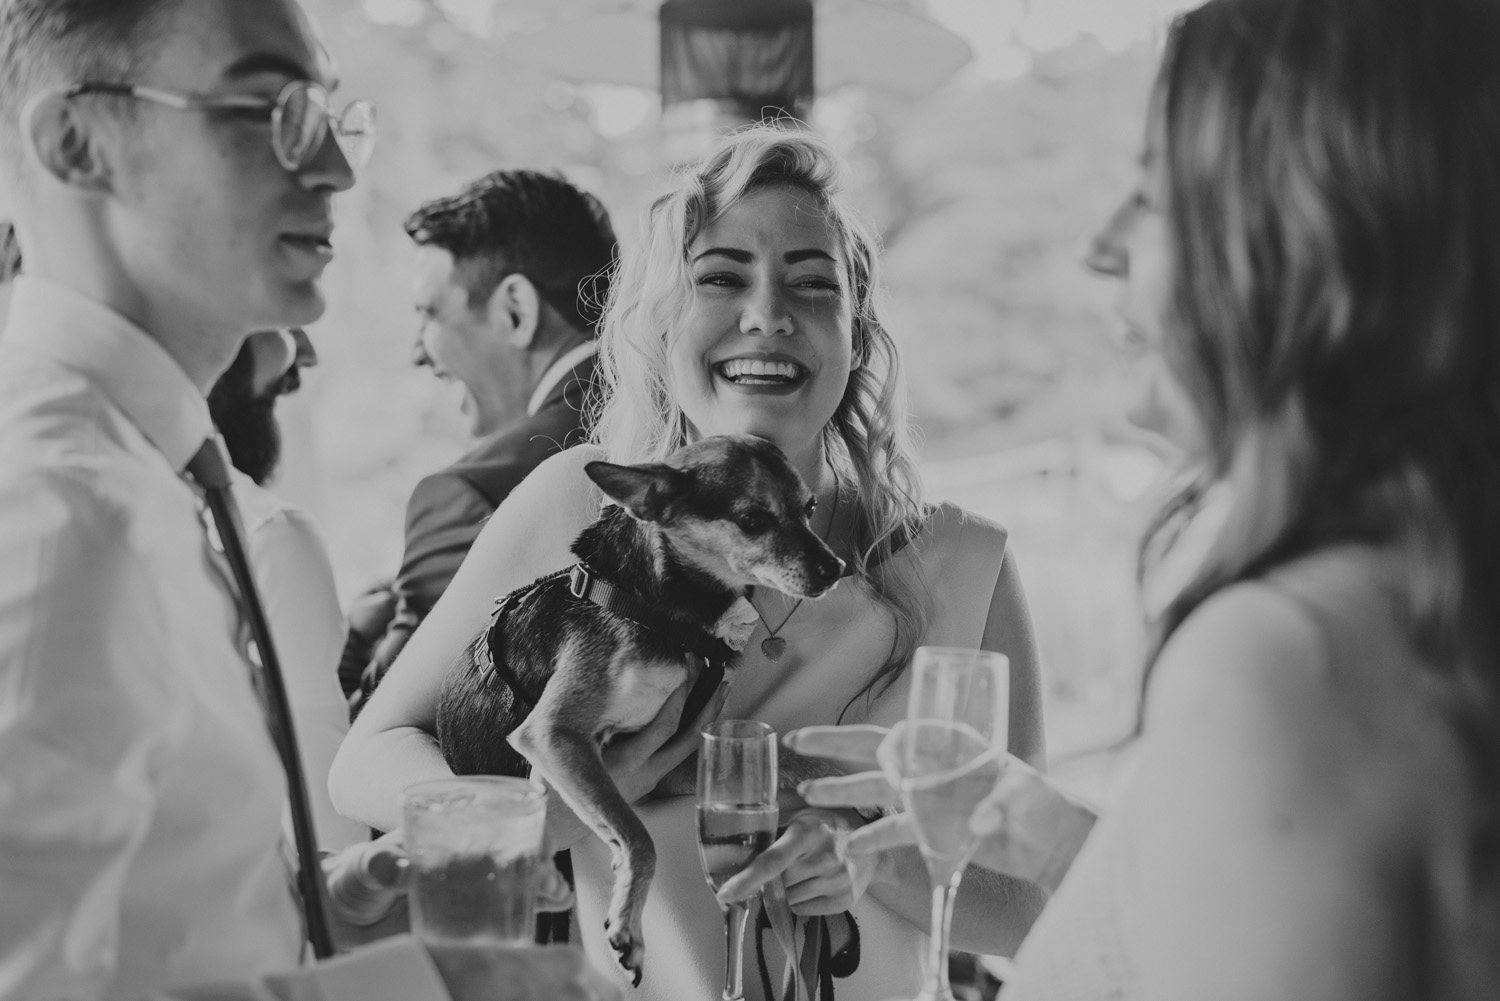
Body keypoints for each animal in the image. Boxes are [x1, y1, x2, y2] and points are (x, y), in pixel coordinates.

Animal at [438, 435, 852, 984]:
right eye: (752, 520)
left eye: (809, 508)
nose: (837, 569)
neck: (664, 611)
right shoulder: (554, 735)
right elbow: (638, 836)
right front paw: (628, 925)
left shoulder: (673, 765)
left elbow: (788, 757)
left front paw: (850, 782)